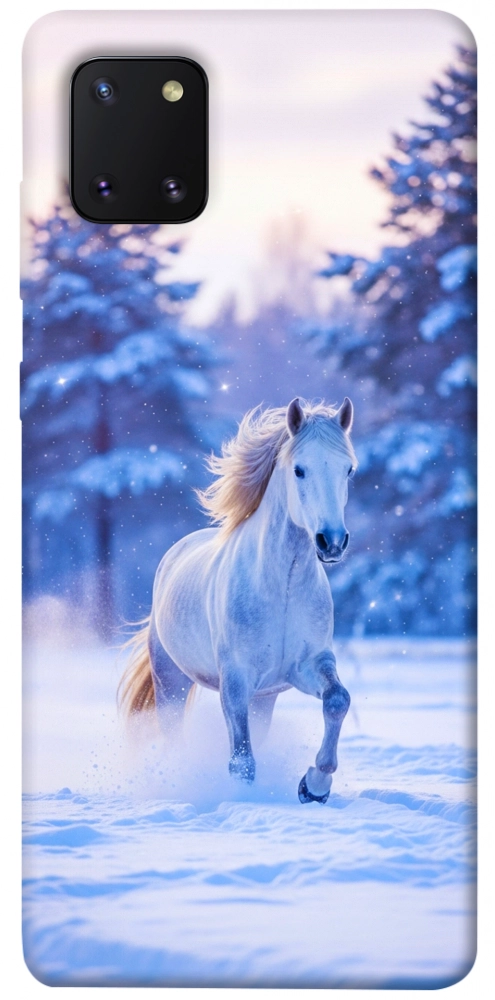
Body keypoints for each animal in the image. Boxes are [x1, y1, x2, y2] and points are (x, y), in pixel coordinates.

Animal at [119, 396, 357, 803]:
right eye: (299, 470)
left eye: (348, 470)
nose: (332, 542)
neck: (282, 588)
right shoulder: (235, 680)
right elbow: (242, 761)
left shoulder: (307, 665)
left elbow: (338, 700)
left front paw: (314, 786)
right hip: (171, 682)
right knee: (173, 735)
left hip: (264, 698)